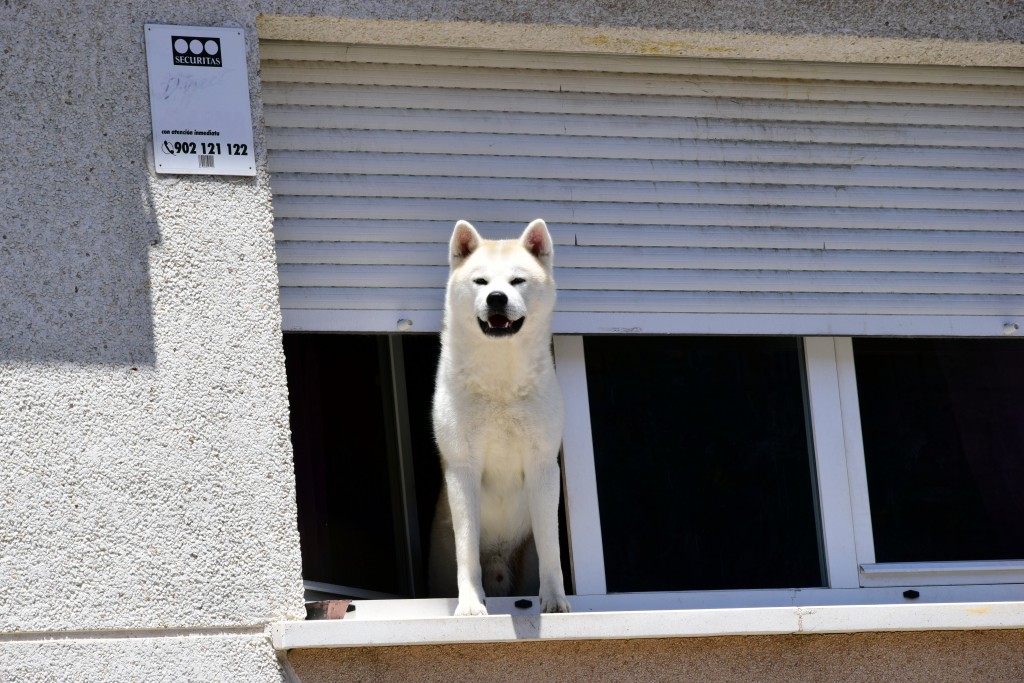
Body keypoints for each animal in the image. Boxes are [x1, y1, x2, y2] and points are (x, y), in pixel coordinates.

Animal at [428, 219, 573, 614]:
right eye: (481, 281)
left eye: (517, 281)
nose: (496, 298)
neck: (500, 385)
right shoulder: (462, 466)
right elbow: (466, 551)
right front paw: (470, 605)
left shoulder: (543, 465)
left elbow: (552, 549)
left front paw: (555, 601)